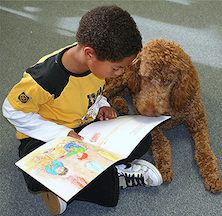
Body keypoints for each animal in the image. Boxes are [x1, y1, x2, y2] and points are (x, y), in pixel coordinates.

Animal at [105, 37, 221, 194]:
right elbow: (161, 142)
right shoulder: (150, 123)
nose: (148, 111)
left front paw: (212, 176)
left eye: (166, 80)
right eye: (145, 76)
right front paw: (164, 167)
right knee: (105, 92)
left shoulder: (198, 121)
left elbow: (204, 150)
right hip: (123, 80)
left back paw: (121, 105)